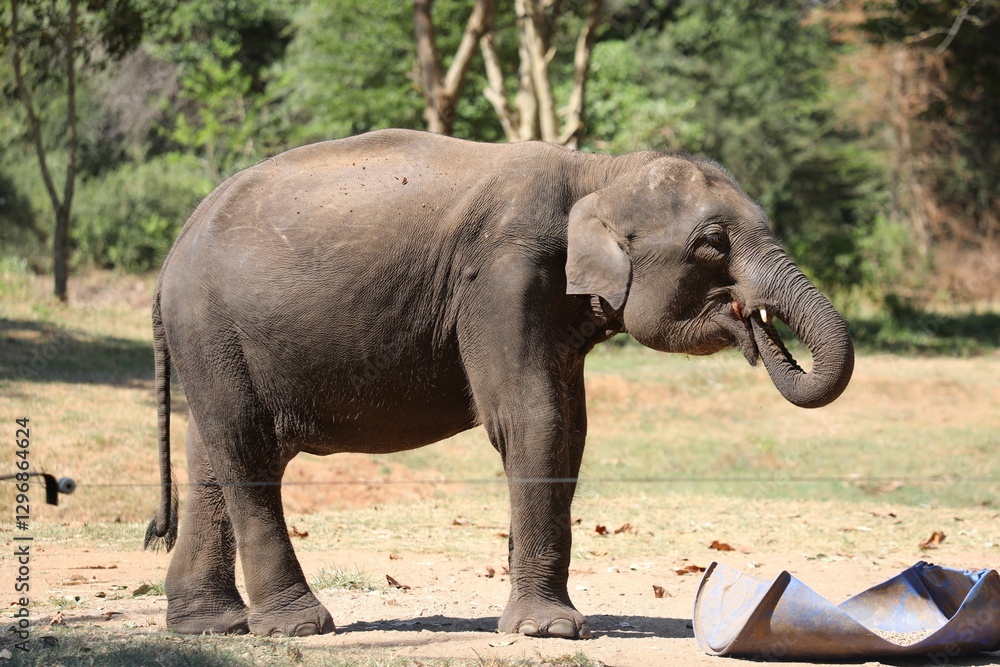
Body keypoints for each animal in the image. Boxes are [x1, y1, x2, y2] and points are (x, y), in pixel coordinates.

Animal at [146, 128, 854, 639]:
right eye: (711, 244)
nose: (753, 324)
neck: (597, 171)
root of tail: (169, 258)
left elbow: (571, 429)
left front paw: (541, 612)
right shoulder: (502, 276)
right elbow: (531, 418)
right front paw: (548, 630)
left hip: (213, 344)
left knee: (211, 453)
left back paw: (211, 628)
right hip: (211, 327)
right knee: (247, 449)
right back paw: (298, 627)